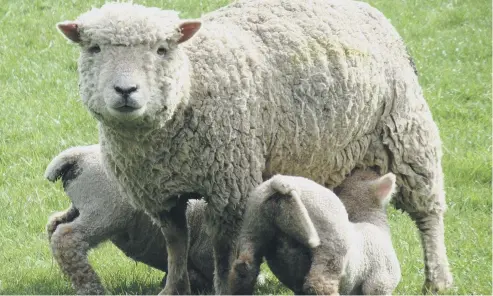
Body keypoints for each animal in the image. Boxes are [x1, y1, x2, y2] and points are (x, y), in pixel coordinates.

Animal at [230, 169, 400, 294]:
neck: (369, 221)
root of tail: (281, 182)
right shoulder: (380, 282)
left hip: (252, 224)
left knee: (243, 269)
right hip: (330, 244)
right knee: (319, 284)